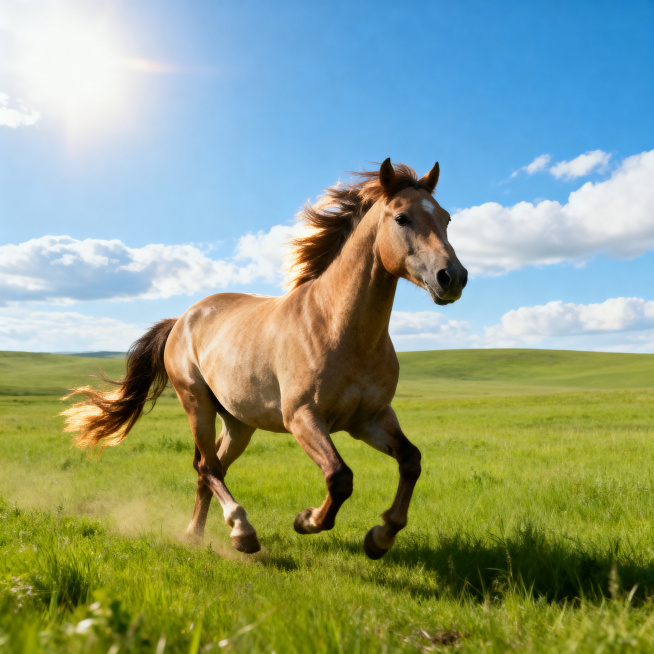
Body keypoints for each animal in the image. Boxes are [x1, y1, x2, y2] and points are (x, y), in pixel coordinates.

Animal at [62, 158, 468, 559]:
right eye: (402, 217)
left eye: (446, 218)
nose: (452, 277)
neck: (339, 327)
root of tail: (182, 319)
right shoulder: (302, 417)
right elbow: (339, 477)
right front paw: (307, 520)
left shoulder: (370, 419)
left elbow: (410, 461)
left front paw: (380, 537)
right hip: (197, 405)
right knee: (208, 467)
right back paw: (241, 532)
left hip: (239, 423)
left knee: (210, 468)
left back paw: (196, 534)